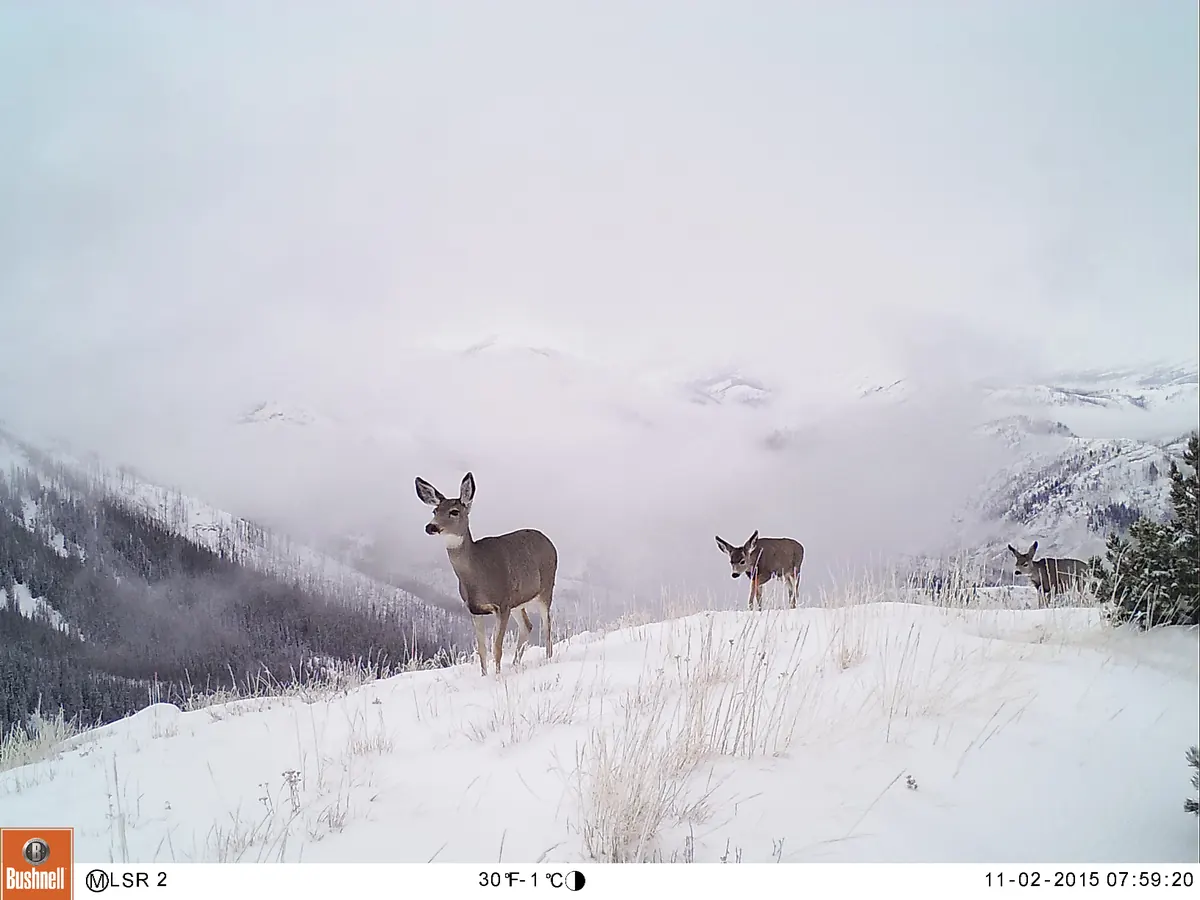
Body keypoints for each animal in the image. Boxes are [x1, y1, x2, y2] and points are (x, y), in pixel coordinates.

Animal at [415, 472, 557, 676]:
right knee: (527, 625)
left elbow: (496, 647)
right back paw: (515, 664)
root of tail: (549, 541)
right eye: (435, 511)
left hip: (546, 588)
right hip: (518, 601)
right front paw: (484, 675)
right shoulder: (474, 609)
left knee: (547, 626)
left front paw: (497, 677)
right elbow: (481, 649)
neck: (477, 575)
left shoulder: (502, 603)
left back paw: (547, 659)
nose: (431, 527)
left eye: (454, 511)